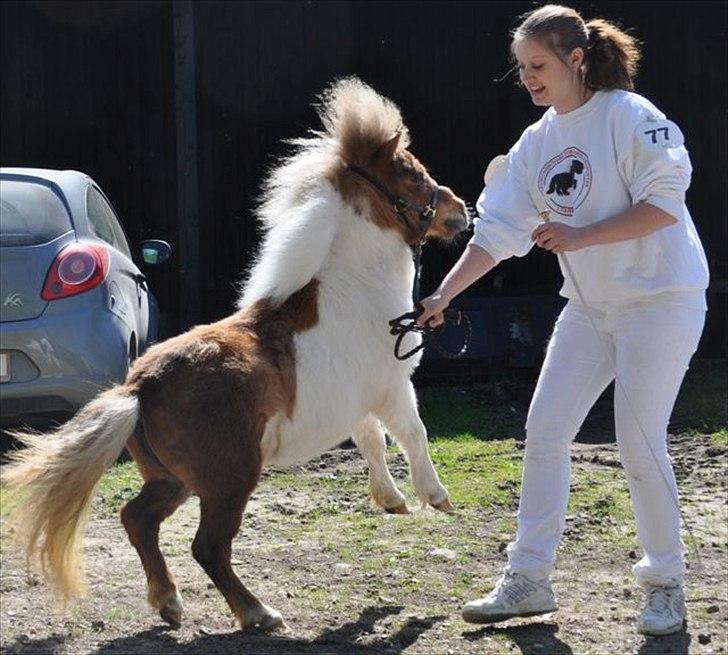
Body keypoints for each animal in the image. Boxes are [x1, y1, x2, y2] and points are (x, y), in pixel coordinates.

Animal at [2, 75, 470, 632]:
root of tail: (138, 387)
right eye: (413, 174)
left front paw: (392, 501)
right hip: (228, 480)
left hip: (174, 479)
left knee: (137, 519)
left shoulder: (356, 402)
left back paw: (170, 604)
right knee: (207, 547)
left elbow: (371, 442)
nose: (462, 211)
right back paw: (258, 612)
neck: (355, 290)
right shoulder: (393, 386)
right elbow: (412, 434)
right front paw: (434, 497)